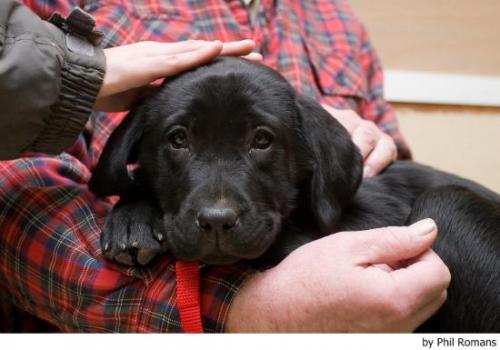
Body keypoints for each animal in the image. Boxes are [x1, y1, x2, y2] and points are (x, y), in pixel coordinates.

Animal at [90, 56, 500, 330]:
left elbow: (277, 242)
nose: (217, 222)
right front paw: (132, 219)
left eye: (262, 140)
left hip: (448, 204)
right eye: (178, 140)